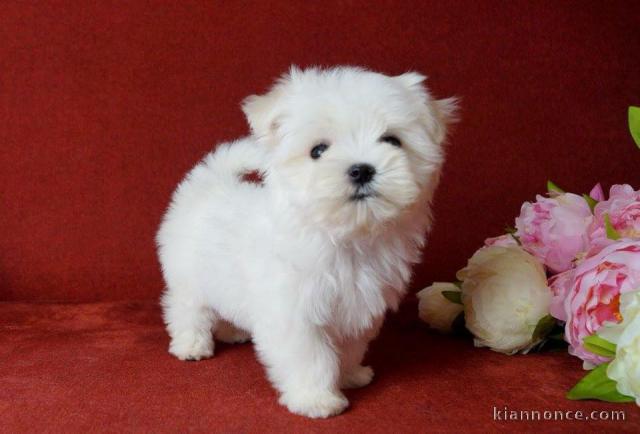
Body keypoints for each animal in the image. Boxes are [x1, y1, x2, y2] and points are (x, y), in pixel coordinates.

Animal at [156, 67, 456, 418]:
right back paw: (191, 344)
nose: (361, 169)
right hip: (187, 275)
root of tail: (210, 183)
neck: (344, 235)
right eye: (318, 150)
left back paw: (234, 332)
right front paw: (316, 399)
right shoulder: (294, 312)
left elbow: (349, 347)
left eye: (392, 140)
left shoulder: (358, 306)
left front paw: (350, 375)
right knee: (187, 308)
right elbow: (311, 357)